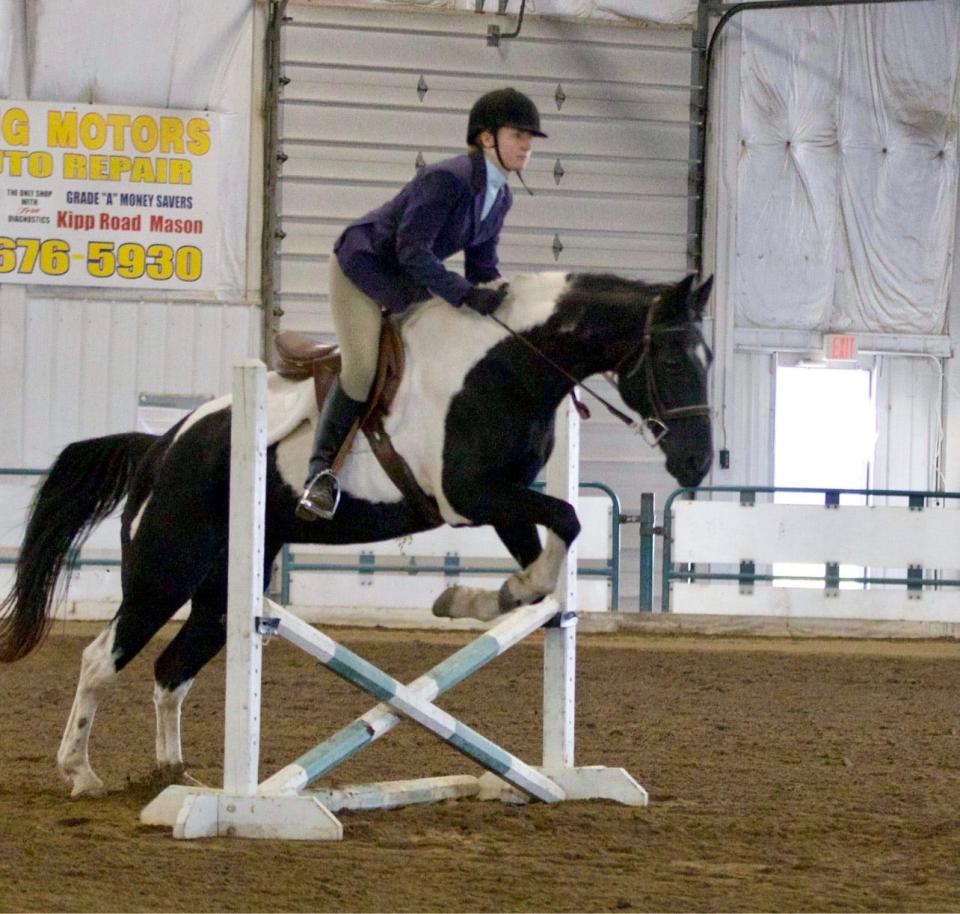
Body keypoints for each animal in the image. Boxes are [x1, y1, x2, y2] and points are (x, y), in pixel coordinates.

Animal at [0, 268, 712, 796]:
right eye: (672, 359)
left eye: (705, 359)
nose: (699, 464)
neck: (505, 367)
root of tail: (162, 446)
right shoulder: (468, 496)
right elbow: (568, 518)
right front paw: (479, 598)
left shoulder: (504, 502)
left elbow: (547, 561)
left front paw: (480, 599)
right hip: (165, 570)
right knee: (102, 658)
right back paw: (81, 773)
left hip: (226, 585)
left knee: (174, 668)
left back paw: (173, 776)